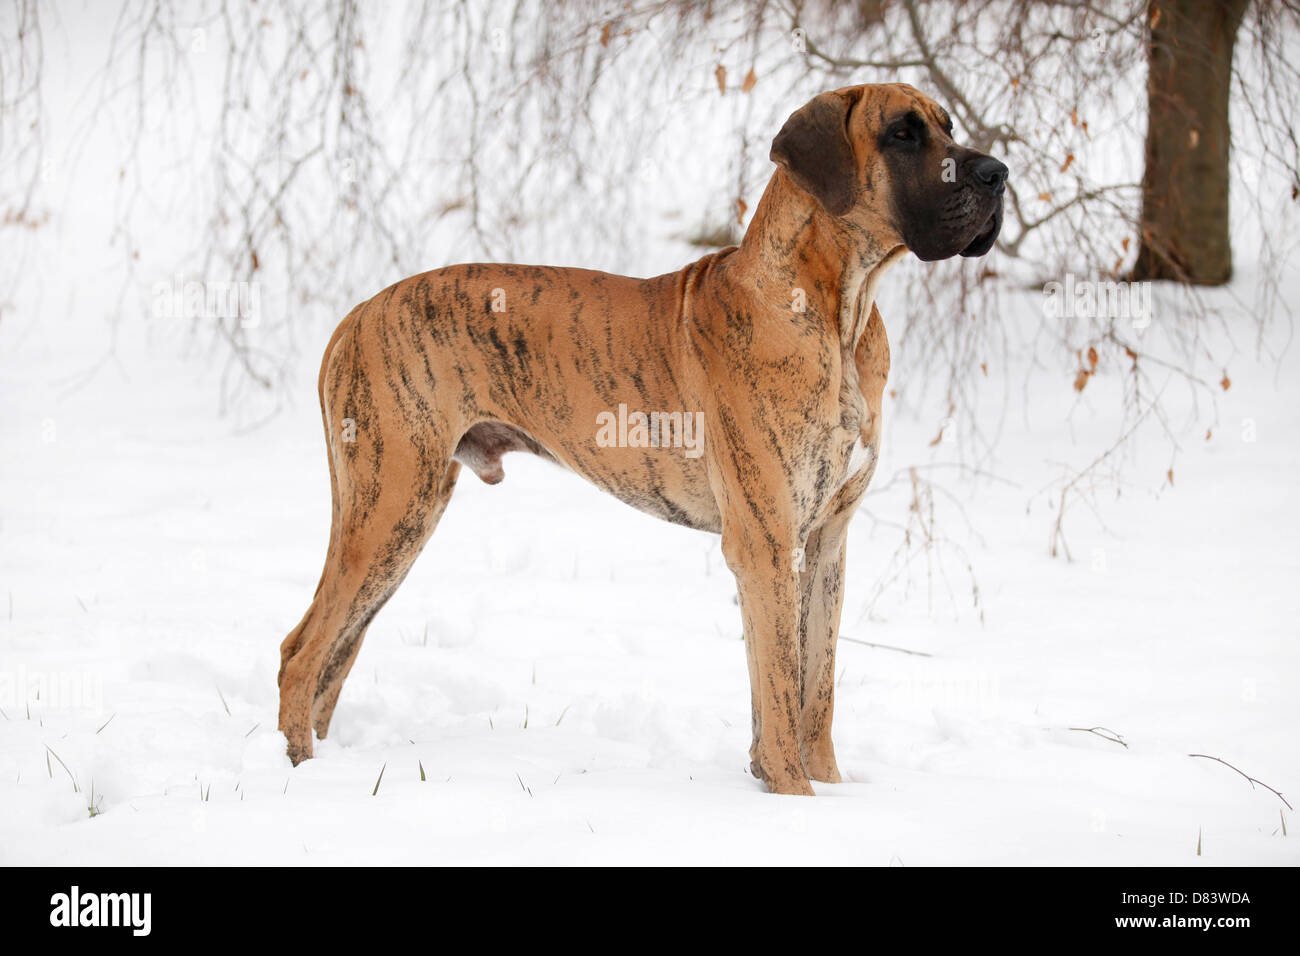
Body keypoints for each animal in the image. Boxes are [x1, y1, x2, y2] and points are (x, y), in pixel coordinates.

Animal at [276, 82, 1003, 796]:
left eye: (947, 125)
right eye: (902, 133)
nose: (998, 173)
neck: (835, 312)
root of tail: (358, 313)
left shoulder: (825, 543)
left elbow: (813, 694)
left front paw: (832, 792)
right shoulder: (766, 544)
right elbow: (779, 692)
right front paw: (793, 798)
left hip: (398, 521)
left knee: (337, 652)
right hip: (390, 506)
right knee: (301, 651)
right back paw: (301, 776)